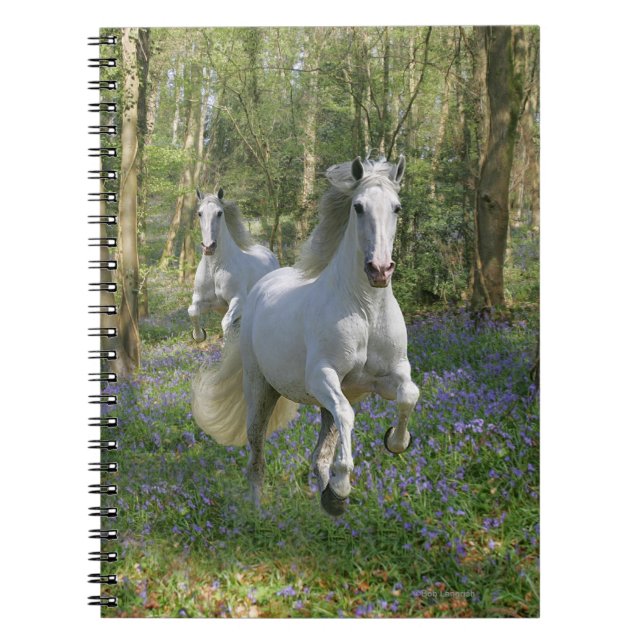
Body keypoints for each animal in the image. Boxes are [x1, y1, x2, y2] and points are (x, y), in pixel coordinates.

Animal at [188, 188, 279, 342]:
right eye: (200, 213)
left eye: (219, 213)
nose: (209, 247)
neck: (215, 269)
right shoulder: (204, 301)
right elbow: (192, 311)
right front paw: (199, 336)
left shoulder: (238, 300)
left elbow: (226, 324)